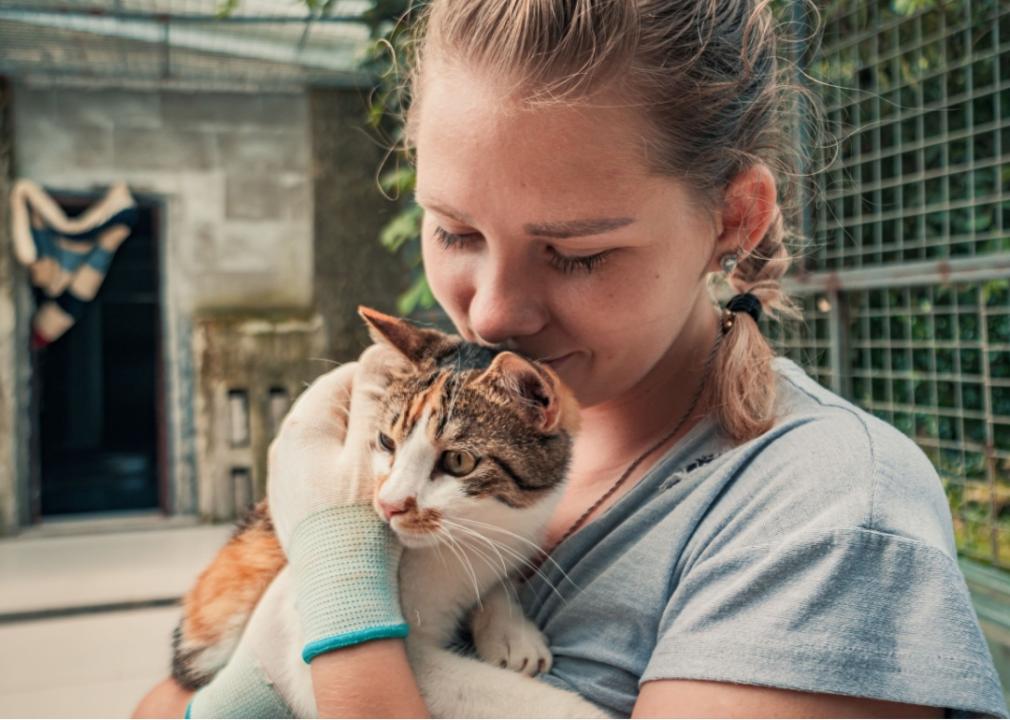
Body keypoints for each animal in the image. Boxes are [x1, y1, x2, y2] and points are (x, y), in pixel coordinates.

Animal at [171, 306, 606, 714]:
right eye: (385, 441)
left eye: (459, 461)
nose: (390, 503)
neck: (466, 542)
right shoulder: (302, 650)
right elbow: (486, 690)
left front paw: (511, 630)